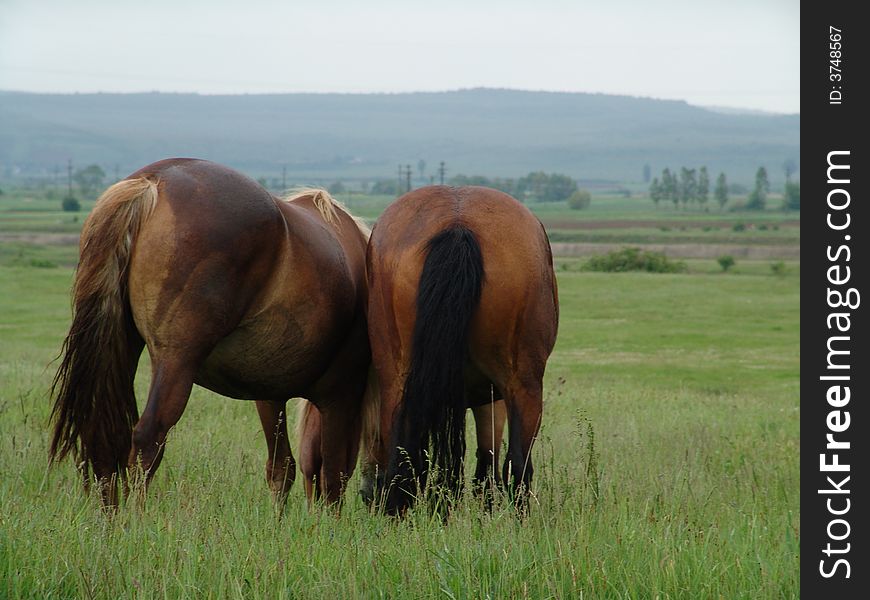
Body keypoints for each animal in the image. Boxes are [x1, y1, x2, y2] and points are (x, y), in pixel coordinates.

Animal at [49, 158, 372, 506]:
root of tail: (152, 181)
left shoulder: (269, 395)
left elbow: (282, 468)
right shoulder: (341, 398)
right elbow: (335, 476)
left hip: (124, 349)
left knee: (107, 442)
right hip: (176, 361)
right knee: (148, 439)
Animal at [362, 185, 560, 512]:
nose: (366, 493)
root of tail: (458, 224)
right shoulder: (491, 399)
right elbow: (487, 467)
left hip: (397, 382)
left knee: (402, 460)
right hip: (524, 386)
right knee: (518, 467)